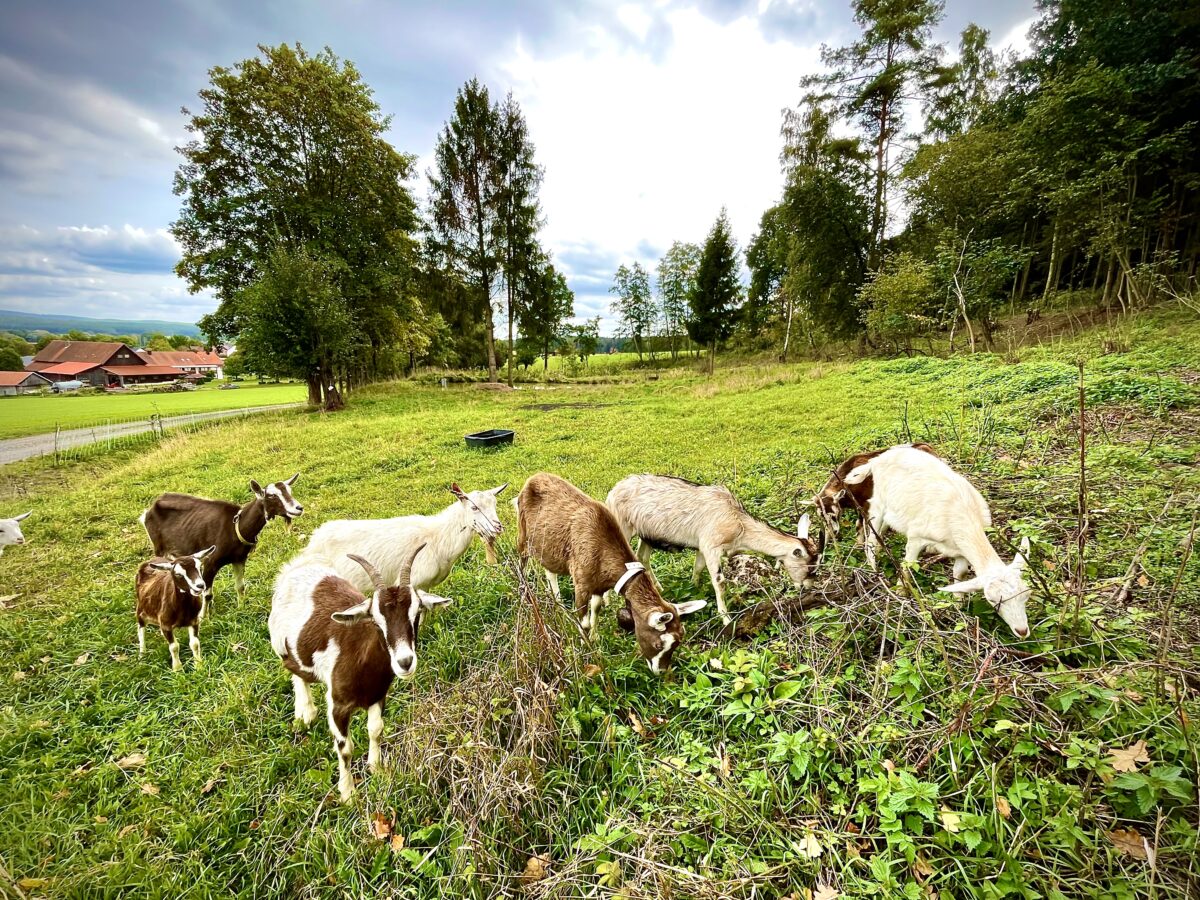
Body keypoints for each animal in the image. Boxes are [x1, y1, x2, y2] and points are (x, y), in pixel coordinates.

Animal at [140, 474, 303, 617]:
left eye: (289, 491)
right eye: (271, 496)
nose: (299, 508)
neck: (236, 527)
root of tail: (148, 511)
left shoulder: (239, 559)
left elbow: (240, 586)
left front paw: (241, 609)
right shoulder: (210, 563)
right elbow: (207, 594)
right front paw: (203, 617)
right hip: (159, 550)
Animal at [269, 545, 451, 801]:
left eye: (416, 614)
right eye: (376, 620)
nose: (405, 662)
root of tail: (296, 567)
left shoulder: (378, 694)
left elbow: (376, 730)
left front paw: (377, 769)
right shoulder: (337, 705)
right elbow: (345, 748)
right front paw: (348, 794)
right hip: (282, 646)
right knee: (295, 671)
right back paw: (305, 712)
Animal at [515, 472, 706, 674]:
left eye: (677, 643)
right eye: (658, 645)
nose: (660, 671)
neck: (602, 548)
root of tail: (534, 478)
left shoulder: (599, 585)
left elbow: (596, 608)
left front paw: (595, 637)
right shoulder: (581, 584)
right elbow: (584, 622)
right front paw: (585, 648)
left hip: (548, 546)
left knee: (550, 571)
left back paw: (557, 600)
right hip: (523, 533)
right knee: (522, 559)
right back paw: (524, 590)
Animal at [606, 474, 821, 626]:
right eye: (810, 566)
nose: (808, 588)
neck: (738, 522)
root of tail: (612, 493)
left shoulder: (702, 547)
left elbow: (698, 568)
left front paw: (694, 588)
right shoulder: (711, 546)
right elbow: (720, 582)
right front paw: (726, 618)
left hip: (647, 536)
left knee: (642, 557)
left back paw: (659, 588)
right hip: (622, 527)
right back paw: (608, 602)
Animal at [840, 445, 1032, 637]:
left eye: (1026, 594)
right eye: (992, 600)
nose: (1022, 631)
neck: (963, 515)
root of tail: (878, 458)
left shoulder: (960, 551)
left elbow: (960, 574)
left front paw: (958, 606)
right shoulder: (917, 536)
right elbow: (908, 566)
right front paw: (901, 593)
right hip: (878, 502)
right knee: (871, 537)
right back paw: (872, 569)